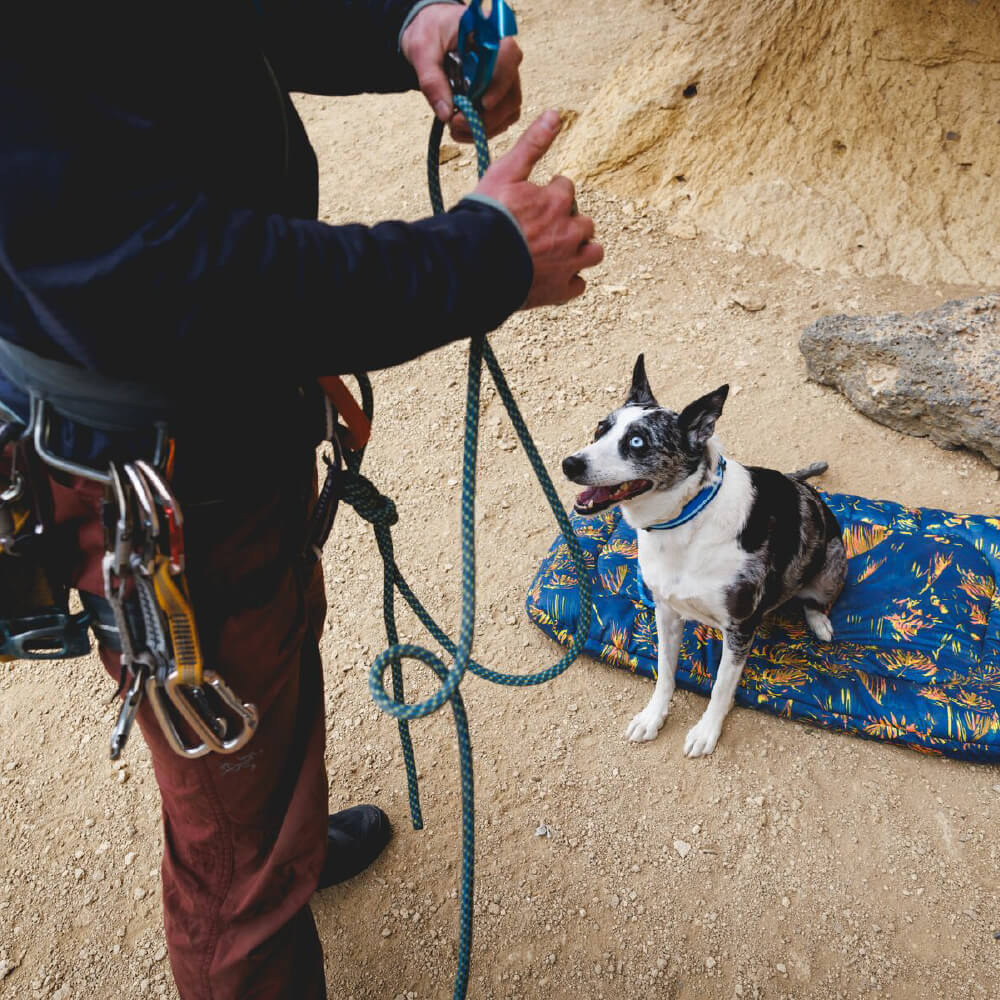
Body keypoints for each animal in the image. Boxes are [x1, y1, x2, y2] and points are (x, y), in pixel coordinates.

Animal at [564, 356, 844, 752]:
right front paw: (653, 717)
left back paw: (819, 621)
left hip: (831, 562)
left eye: (637, 442)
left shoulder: (740, 628)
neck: (684, 519)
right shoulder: (665, 612)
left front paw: (706, 731)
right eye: (600, 429)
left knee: (817, 600)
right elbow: (665, 673)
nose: (569, 464)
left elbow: (721, 688)